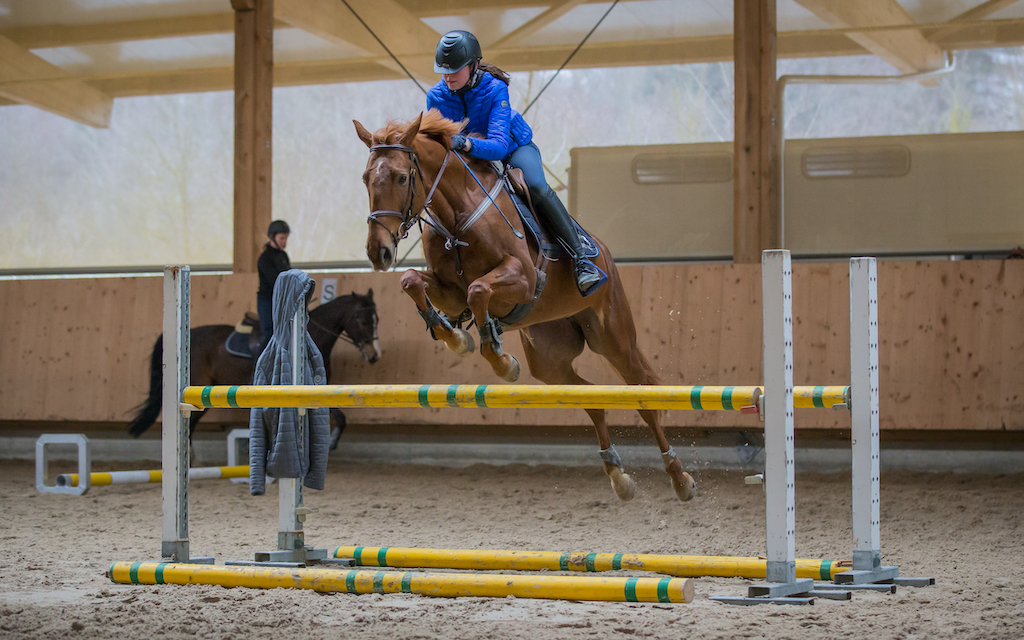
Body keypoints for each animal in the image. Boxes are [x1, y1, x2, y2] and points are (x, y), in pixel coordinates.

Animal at [352, 111, 696, 503]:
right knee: (591, 398)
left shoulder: (524, 279)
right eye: (366, 178)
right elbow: (412, 281)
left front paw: (500, 359)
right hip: (549, 361)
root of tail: (603, 252)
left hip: (615, 339)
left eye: (401, 176)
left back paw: (680, 478)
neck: (457, 215)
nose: (378, 252)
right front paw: (458, 338)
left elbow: (478, 290)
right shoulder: (448, 290)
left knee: (645, 400)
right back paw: (617, 476)